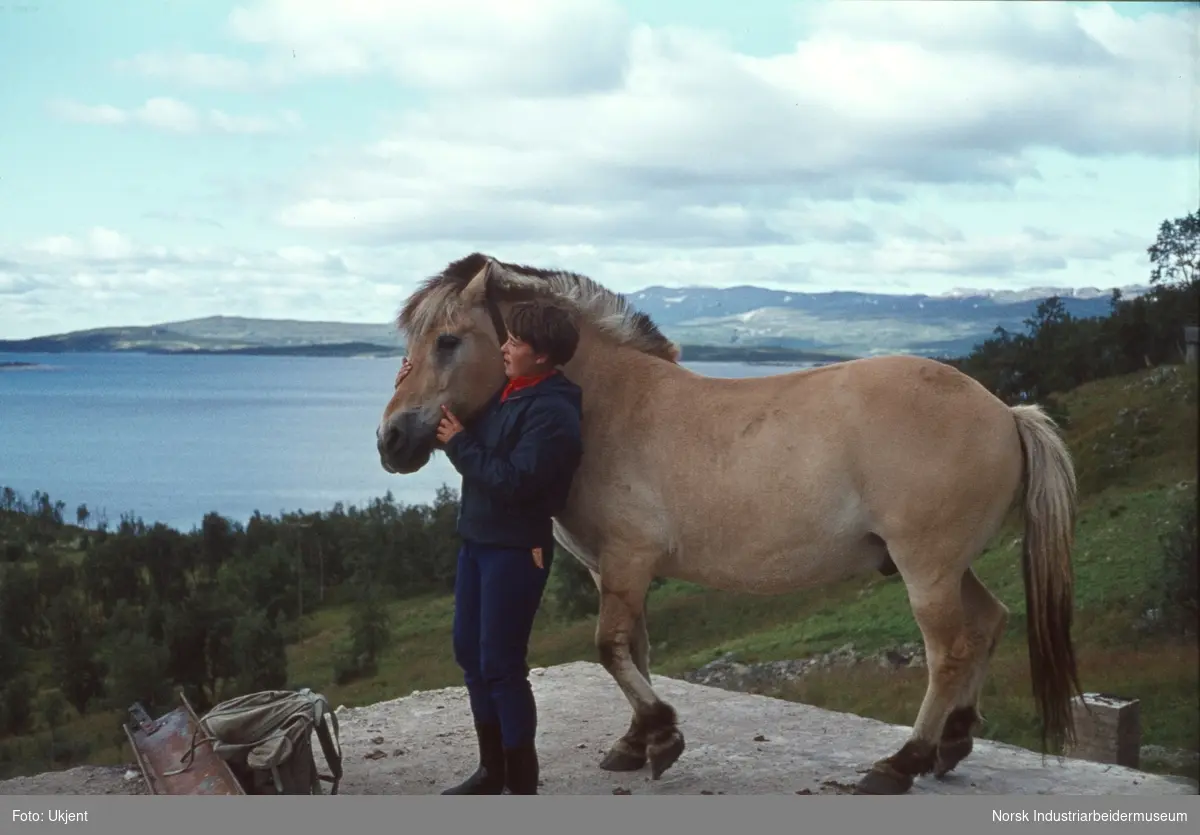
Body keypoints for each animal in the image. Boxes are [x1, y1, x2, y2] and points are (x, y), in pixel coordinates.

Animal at [376, 253, 1089, 796]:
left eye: (447, 341)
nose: (391, 440)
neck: (604, 406)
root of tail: (1006, 410)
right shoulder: (617, 570)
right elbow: (635, 648)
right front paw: (639, 742)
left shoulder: (628, 559)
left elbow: (610, 647)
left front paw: (663, 735)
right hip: (947, 565)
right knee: (990, 622)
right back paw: (955, 741)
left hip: (927, 568)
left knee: (949, 651)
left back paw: (901, 763)